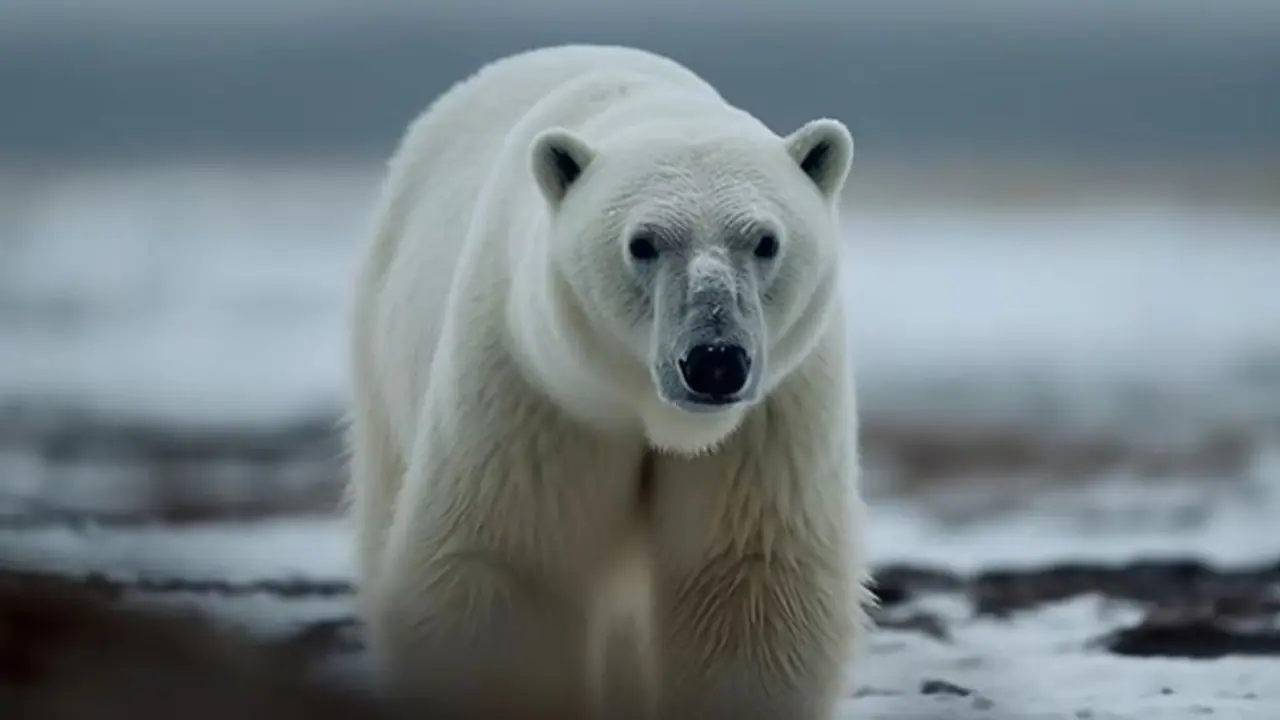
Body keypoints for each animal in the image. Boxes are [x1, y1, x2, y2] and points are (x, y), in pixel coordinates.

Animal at [345, 44, 869, 720]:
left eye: (765, 240)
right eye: (642, 243)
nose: (714, 360)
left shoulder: (771, 416)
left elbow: (746, 581)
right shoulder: (534, 389)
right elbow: (504, 565)